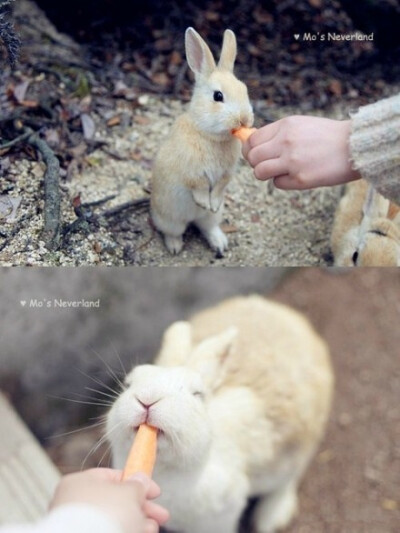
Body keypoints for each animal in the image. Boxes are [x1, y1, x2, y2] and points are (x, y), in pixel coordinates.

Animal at [150, 27, 253, 256]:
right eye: (218, 96)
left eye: (245, 90)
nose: (243, 119)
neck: (210, 135)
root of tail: (191, 219)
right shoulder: (191, 171)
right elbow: (199, 185)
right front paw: (203, 202)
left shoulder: (226, 174)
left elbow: (220, 186)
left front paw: (211, 203)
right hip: (171, 219)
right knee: (173, 231)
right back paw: (175, 247)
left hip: (211, 219)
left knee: (208, 226)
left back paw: (220, 243)